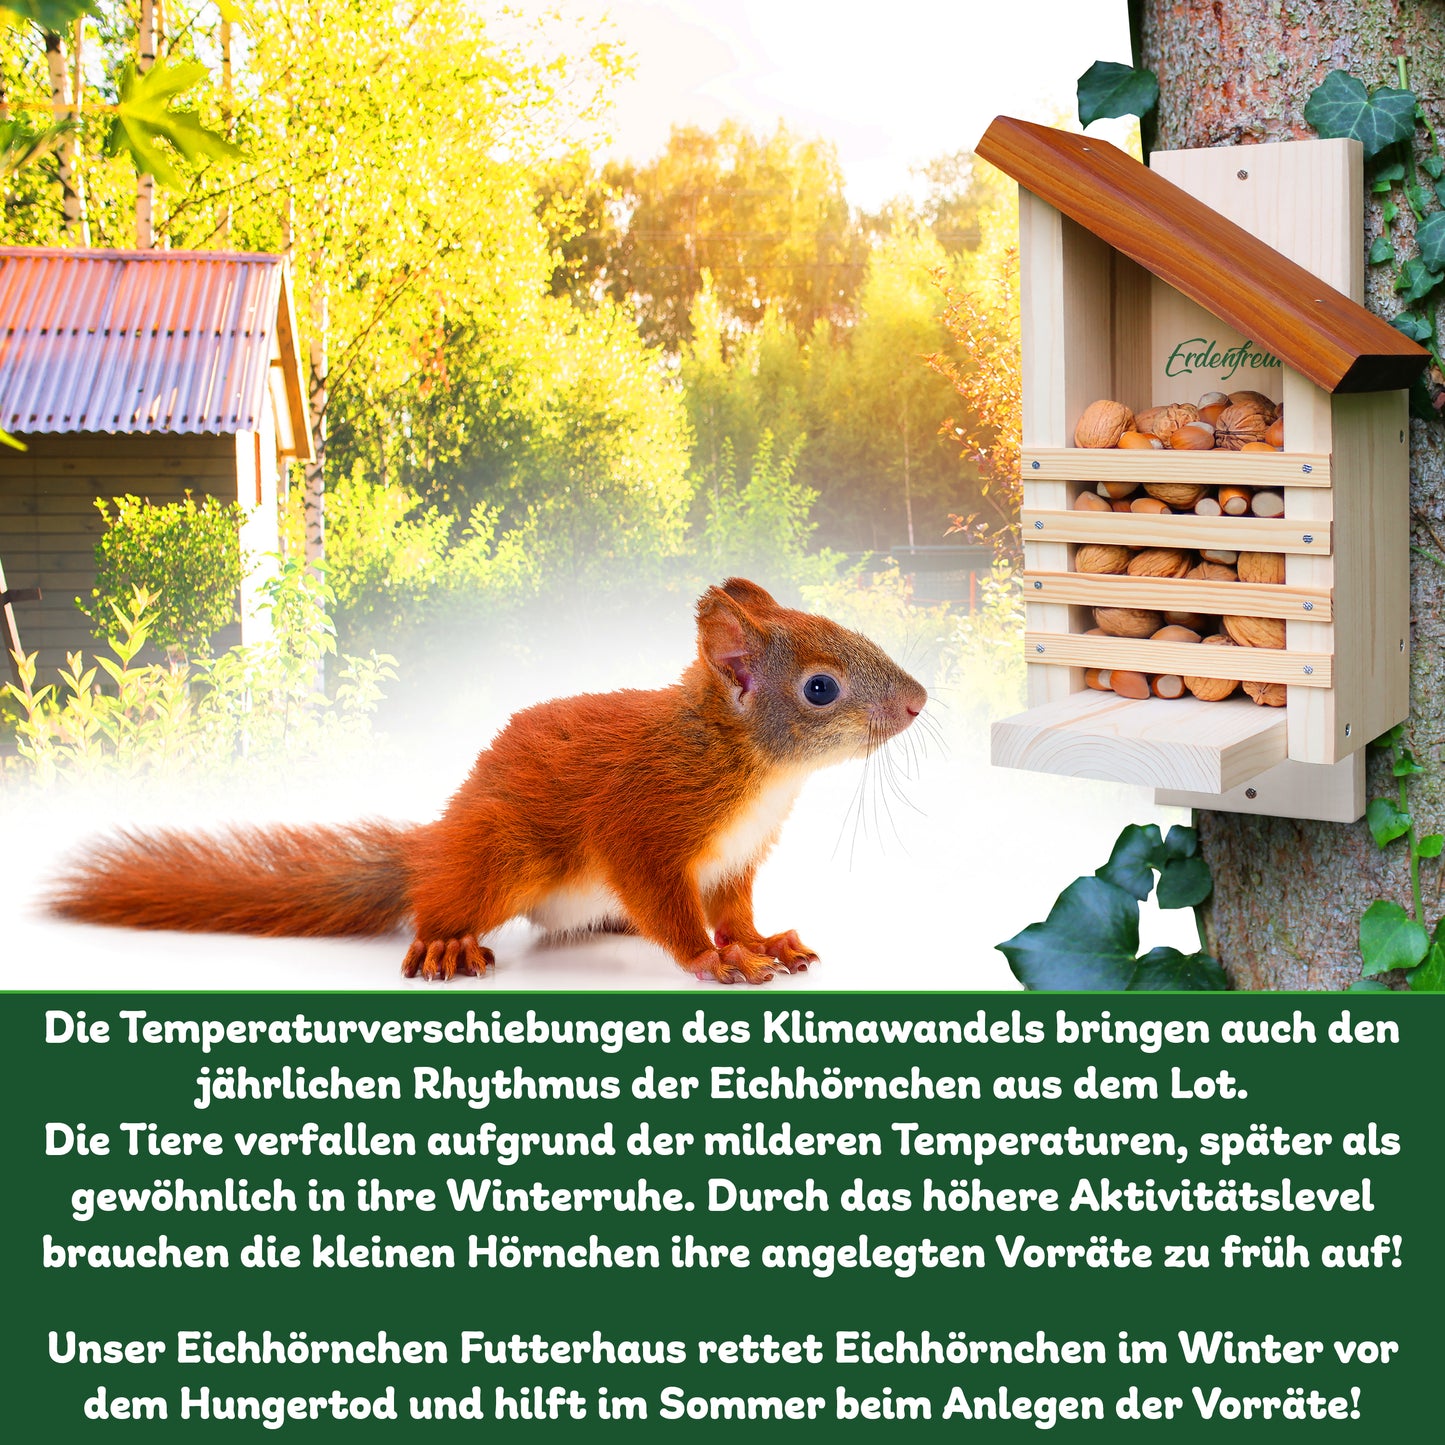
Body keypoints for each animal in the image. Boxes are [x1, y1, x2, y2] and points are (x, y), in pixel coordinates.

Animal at [49, 578, 927, 985]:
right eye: (820, 687)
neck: (751, 767)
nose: (919, 701)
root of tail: (440, 839)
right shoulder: (645, 822)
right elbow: (670, 907)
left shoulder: (736, 858)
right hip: (504, 852)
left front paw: (760, 941)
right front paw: (715, 959)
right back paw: (446, 941)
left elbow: (735, 910)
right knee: (443, 899)